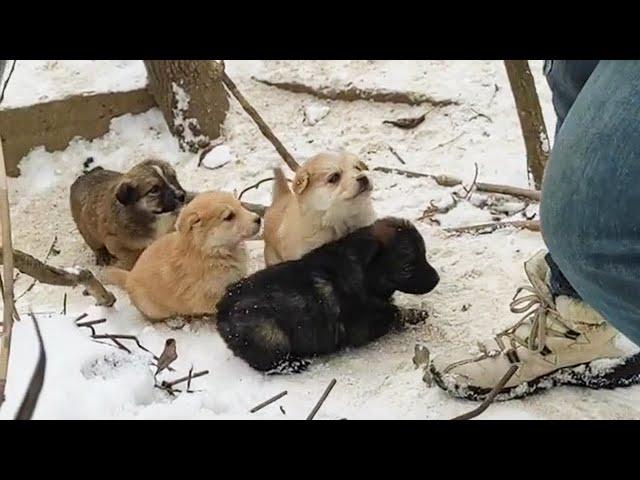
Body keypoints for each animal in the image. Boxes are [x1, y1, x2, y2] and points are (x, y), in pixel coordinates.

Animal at [106, 191, 262, 322]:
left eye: (240, 205)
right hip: (151, 307)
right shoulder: (207, 296)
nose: (258, 219)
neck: (211, 252)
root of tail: (129, 276)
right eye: (229, 217)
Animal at [216, 218, 440, 376]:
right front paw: (412, 314)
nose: (437, 279)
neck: (362, 270)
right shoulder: (362, 325)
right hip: (268, 333)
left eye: (424, 255)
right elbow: (393, 312)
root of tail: (221, 310)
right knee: (267, 361)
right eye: (408, 267)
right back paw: (293, 364)